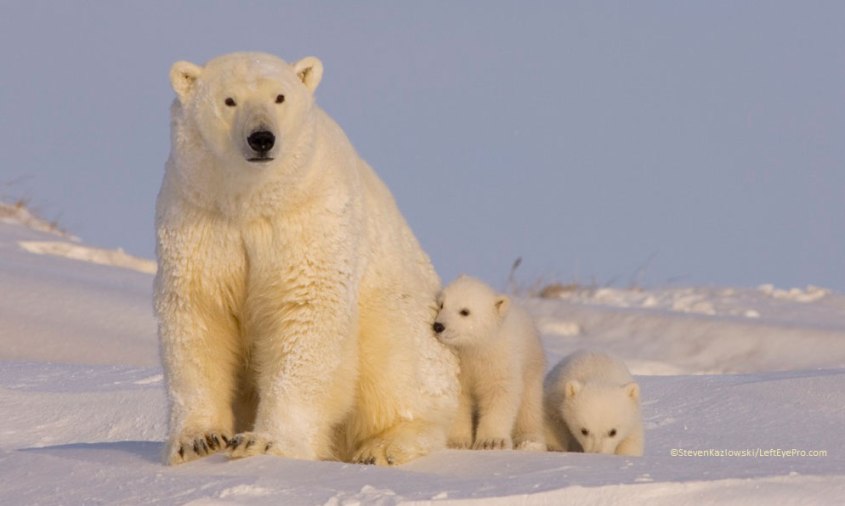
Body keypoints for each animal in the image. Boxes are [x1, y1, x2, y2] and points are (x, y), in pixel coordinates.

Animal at [153, 52, 460, 466]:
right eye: (229, 100)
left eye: (280, 96)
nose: (261, 138)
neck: (250, 202)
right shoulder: (199, 217)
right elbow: (199, 316)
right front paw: (200, 441)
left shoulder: (309, 215)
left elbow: (307, 311)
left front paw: (263, 443)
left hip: (403, 316)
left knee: (395, 367)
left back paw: (384, 445)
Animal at [432, 275, 546, 451]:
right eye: (442, 304)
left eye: (464, 311)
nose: (438, 326)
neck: (476, 348)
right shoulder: (461, 366)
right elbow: (459, 398)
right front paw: (457, 442)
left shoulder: (499, 360)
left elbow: (499, 392)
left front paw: (491, 442)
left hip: (531, 364)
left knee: (529, 403)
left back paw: (530, 440)